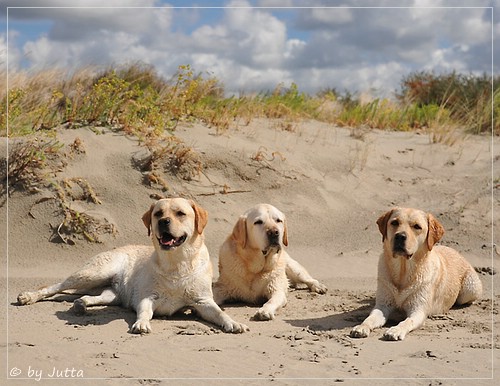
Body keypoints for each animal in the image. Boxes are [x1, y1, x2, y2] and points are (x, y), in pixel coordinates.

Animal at [18, 198, 249, 334]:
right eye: (158, 213)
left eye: (180, 213)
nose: (163, 222)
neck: (177, 263)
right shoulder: (146, 298)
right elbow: (145, 312)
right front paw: (141, 324)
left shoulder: (203, 302)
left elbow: (220, 313)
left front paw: (233, 323)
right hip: (93, 273)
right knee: (55, 287)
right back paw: (29, 296)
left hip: (111, 293)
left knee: (87, 296)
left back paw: (81, 304)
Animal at [350, 208, 482, 340]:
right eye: (394, 222)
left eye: (417, 226)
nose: (400, 236)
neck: (403, 271)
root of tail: (456, 251)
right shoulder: (383, 305)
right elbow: (370, 318)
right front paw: (361, 327)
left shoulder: (418, 310)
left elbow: (407, 321)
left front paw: (396, 330)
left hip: (469, 289)